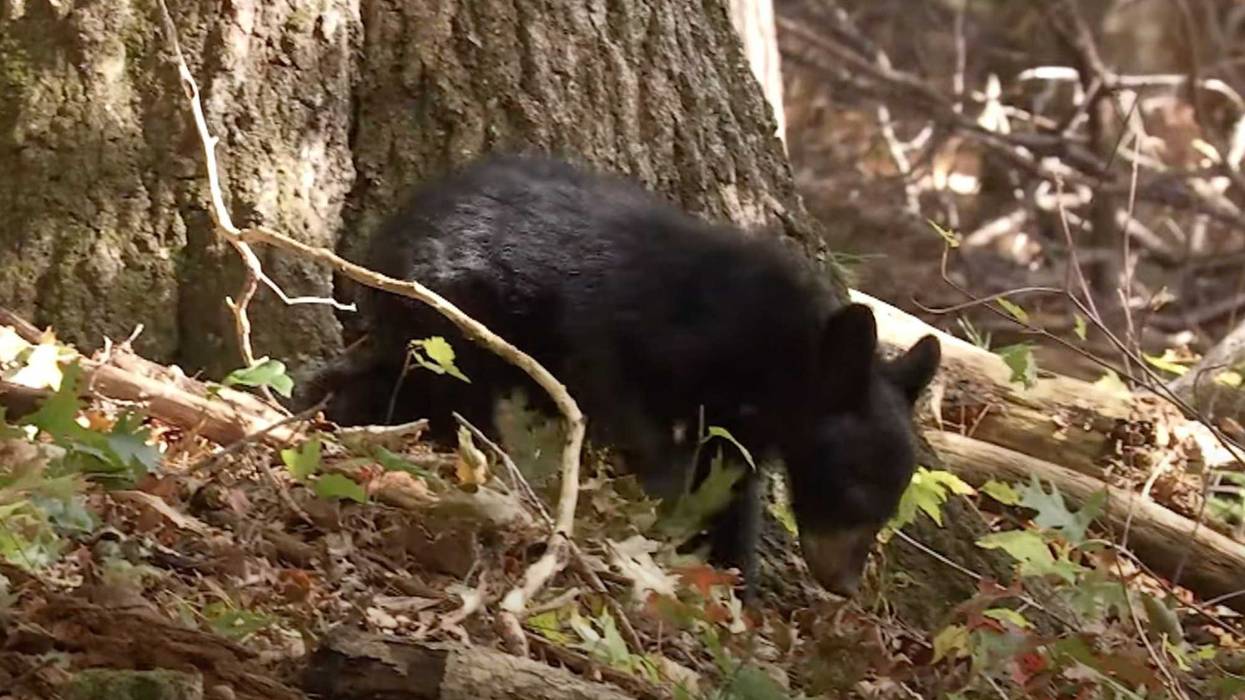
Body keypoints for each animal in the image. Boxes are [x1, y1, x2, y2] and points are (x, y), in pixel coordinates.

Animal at [295, 154, 941, 598]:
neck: (778, 357)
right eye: (854, 490)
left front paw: (735, 573)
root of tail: (392, 227)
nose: (845, 584)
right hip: (459, 319)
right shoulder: (641, 339)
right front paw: (668, 513)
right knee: (450, 391)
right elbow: (636, 418)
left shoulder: (739, 422)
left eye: (892, 501)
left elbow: (734, 484)